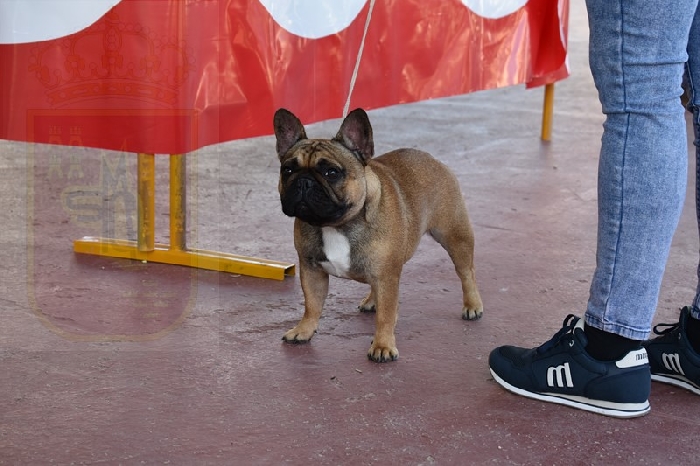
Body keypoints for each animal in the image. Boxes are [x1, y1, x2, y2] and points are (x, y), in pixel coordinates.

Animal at [273, 108, 483, 362]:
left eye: (331, 172)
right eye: (287, 170)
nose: (304, 182)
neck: (336, 225)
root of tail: (432, 159)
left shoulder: (387, 276)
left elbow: (386, 315)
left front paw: (383, 345)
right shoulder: (311, 269)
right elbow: (312, 304)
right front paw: (303, 330)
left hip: (455, 236)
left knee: (466, 272)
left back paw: (472, 305)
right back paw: (371, 300)